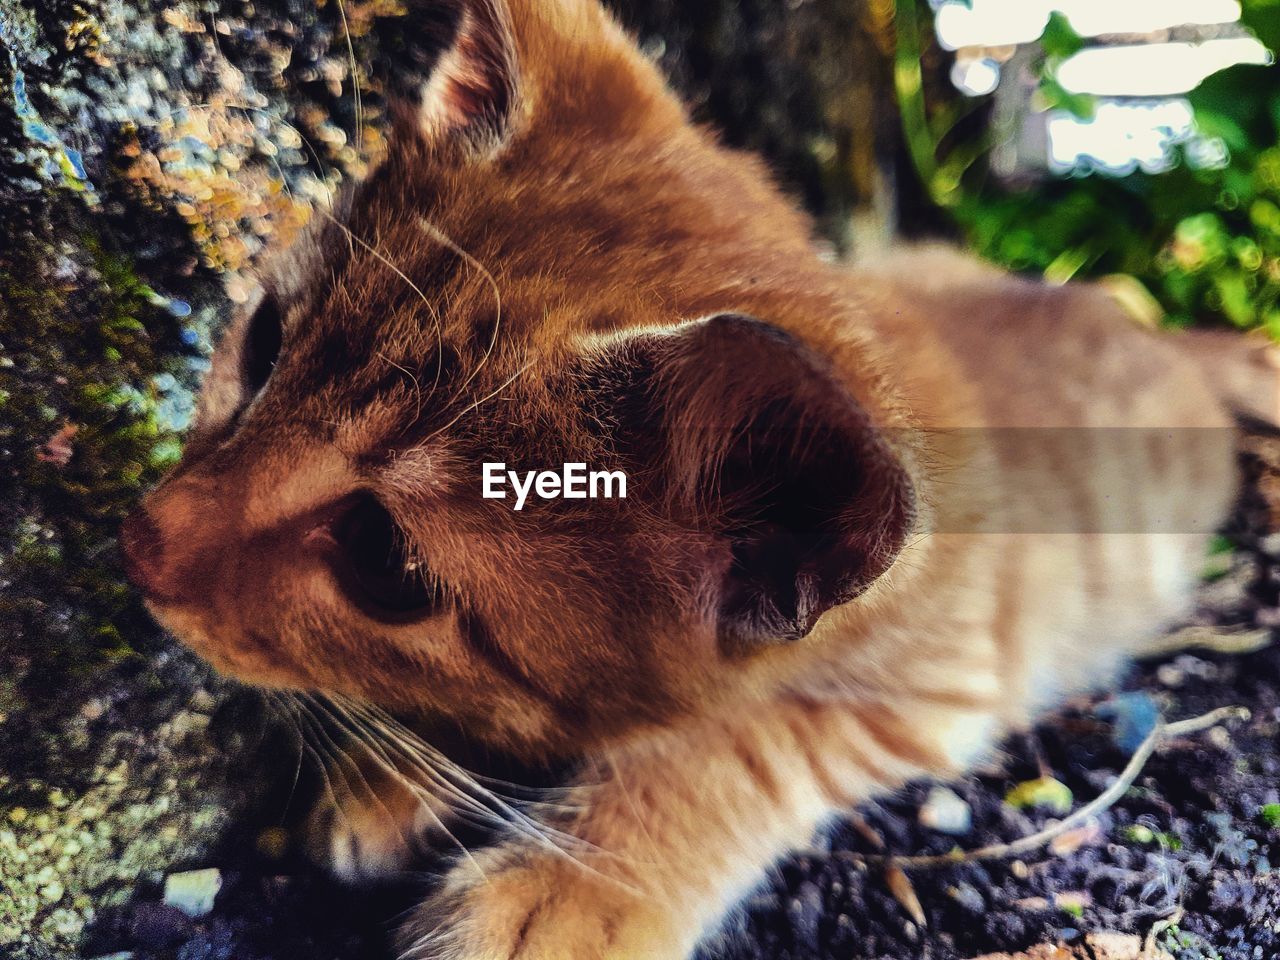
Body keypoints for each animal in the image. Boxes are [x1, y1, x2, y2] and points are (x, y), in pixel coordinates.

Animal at [117, 0, 1269, 957]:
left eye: (380, 561)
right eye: (263, 344)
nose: (142, 543)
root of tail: (1126, 312)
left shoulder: (938, 686)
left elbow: (739, 742)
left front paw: (569, 888)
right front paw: (394, 774)